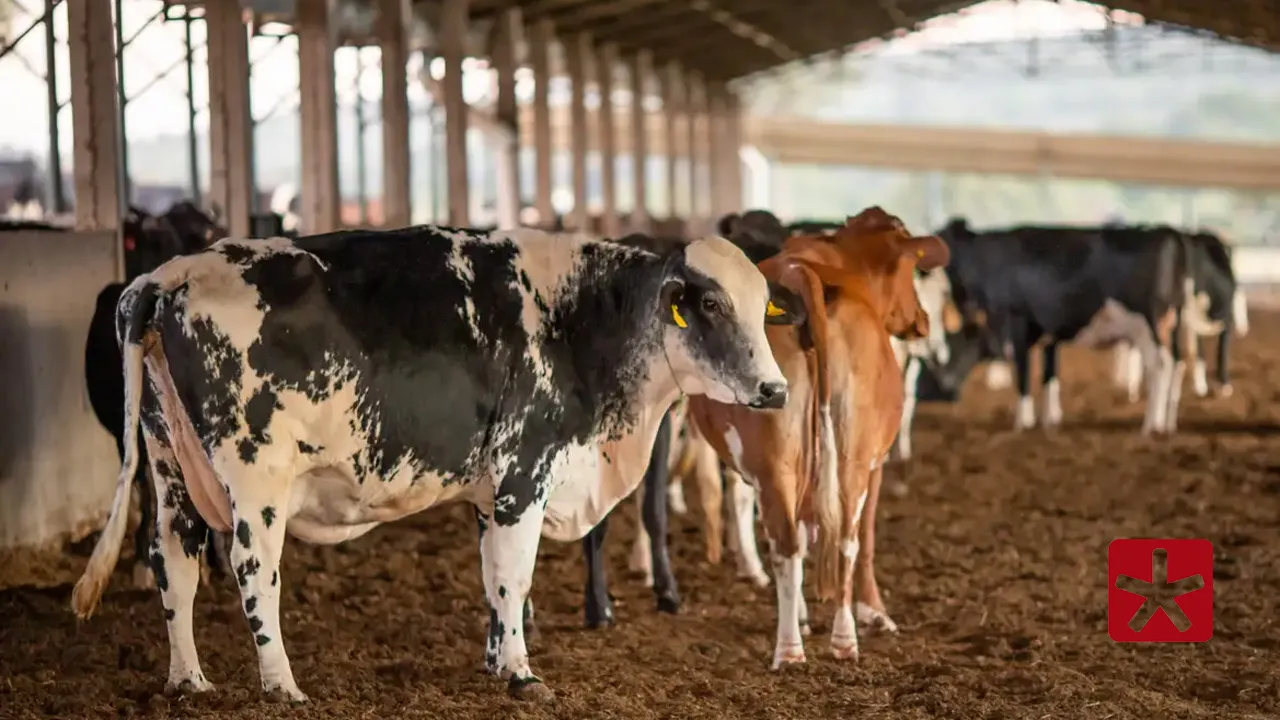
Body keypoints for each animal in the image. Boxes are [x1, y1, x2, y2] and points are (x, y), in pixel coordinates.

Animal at [687, 208, 949, 667]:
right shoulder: (875, 464)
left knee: (804, 541)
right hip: (846, 460)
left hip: (783, 463)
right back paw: (814, 644)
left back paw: (813, 643)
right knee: (835, 539)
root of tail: (801, 276)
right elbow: (866, 540)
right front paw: (875, 612)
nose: (922, 320)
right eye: (909, 270)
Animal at [938, 218, 1190, 434]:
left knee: (1159, 365)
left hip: (1147, 323)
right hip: (1173, 322)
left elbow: (1023, 372)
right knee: (1177, 364)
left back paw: (1151, 425)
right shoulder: (1049, 333)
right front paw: (1050, 421)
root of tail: (1165, 231)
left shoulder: (1016, 321)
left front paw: (1023, 423)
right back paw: (1168, 424)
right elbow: (1049, 375)